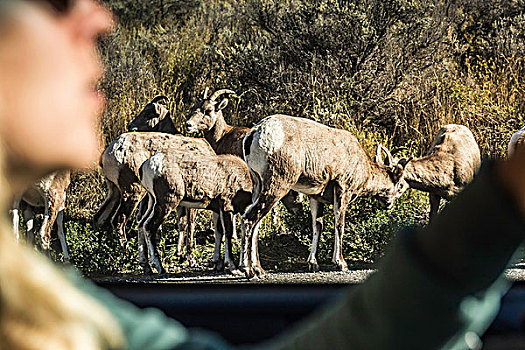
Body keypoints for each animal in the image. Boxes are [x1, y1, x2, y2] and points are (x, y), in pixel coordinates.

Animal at [241, 114, 410, 276]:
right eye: (401, 186)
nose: (388, 205)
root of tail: (255, 133)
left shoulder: (315, 197)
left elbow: (317, 226)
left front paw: (313, 264)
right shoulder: (343, 189)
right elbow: (339, 224)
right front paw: (341, 263)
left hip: (258, 183)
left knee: (256, 223)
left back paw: (259, 270)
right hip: (278, 183)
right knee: (249, 219)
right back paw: (248, 270)